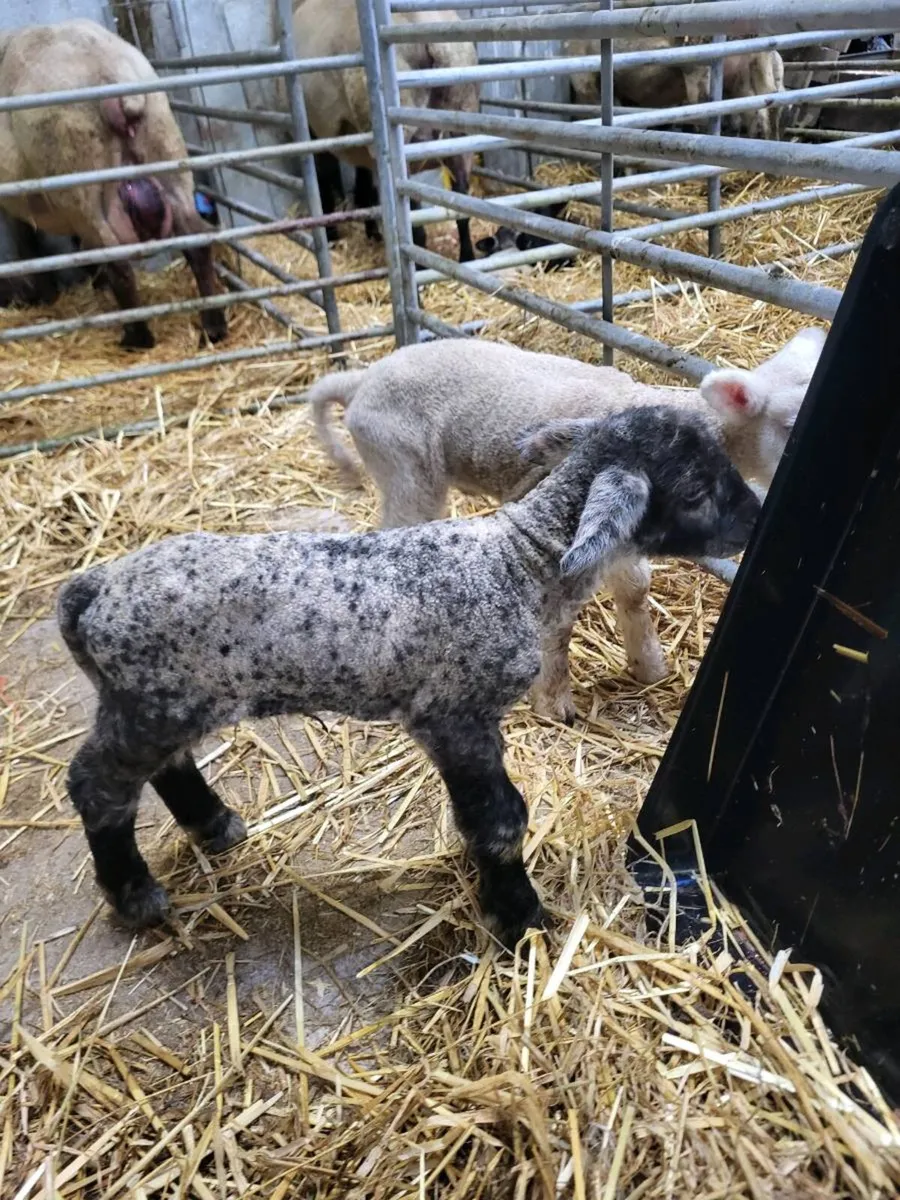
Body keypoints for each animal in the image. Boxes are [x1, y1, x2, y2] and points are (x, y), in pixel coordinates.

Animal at [0, 19, 227, 350]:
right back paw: (213, 328)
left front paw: (47, 295)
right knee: (196, 241)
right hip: (167, 150)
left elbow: (27, 245)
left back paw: (136, 338)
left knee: (117, 262)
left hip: (80, 182)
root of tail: (108, 69)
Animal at [58, 406, 759, 946]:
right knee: (97, 784)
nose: (755, 519)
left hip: (170, 698)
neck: (518, 565)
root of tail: (93, 590)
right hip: (152, 699)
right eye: (696, 491)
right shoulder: (455, 715)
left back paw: (214, 826)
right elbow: (500, 820)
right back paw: (136, 895)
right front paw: (519, 917)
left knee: (162, 765)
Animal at [292, 0, 479, 261]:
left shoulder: (317, 134)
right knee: (461, 204)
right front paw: (370, 232)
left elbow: (325, 184)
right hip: (461, 131)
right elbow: (363, 186)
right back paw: (467, 256)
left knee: (413, 222)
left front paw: (333, 235)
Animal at [310, 330, 824, 717]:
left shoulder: (621, 532)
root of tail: (363, 378)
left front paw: (649, 667)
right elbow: (557, 624)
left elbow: (635, 591)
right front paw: (553, 701)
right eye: (788, 424)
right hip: (406, 470)